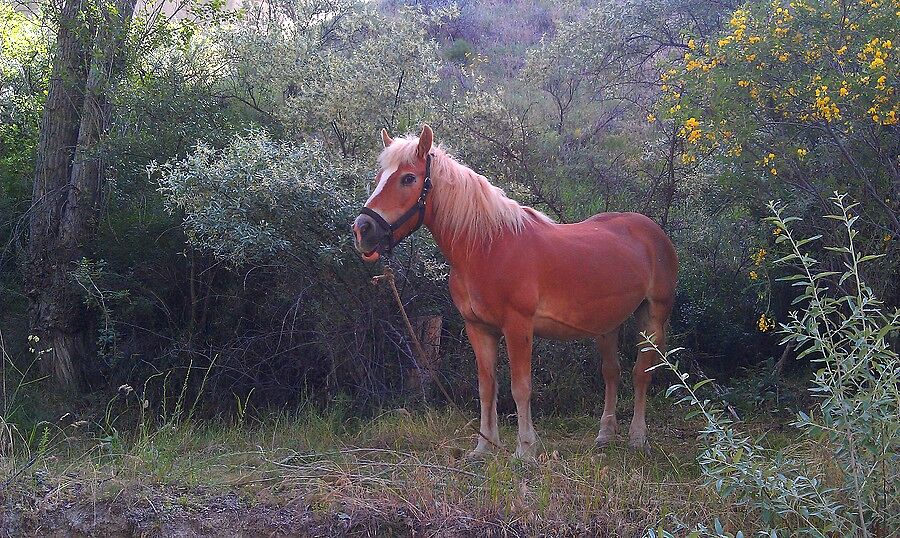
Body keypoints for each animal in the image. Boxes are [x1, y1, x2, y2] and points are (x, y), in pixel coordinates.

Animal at [352, 125, 676, 456]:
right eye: (379, 177)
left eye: (408, 178)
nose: (362, 230)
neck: (487, 247)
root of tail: (652, 232)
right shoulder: (478, 328)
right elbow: (487, 387)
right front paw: (484, 448)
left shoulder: (518, 326)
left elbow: (520, 388)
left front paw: (525, 450)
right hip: (607, 324)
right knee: (612, 372)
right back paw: (605, 434)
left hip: (653, 315)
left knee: (641, 372)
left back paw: (637, 437)